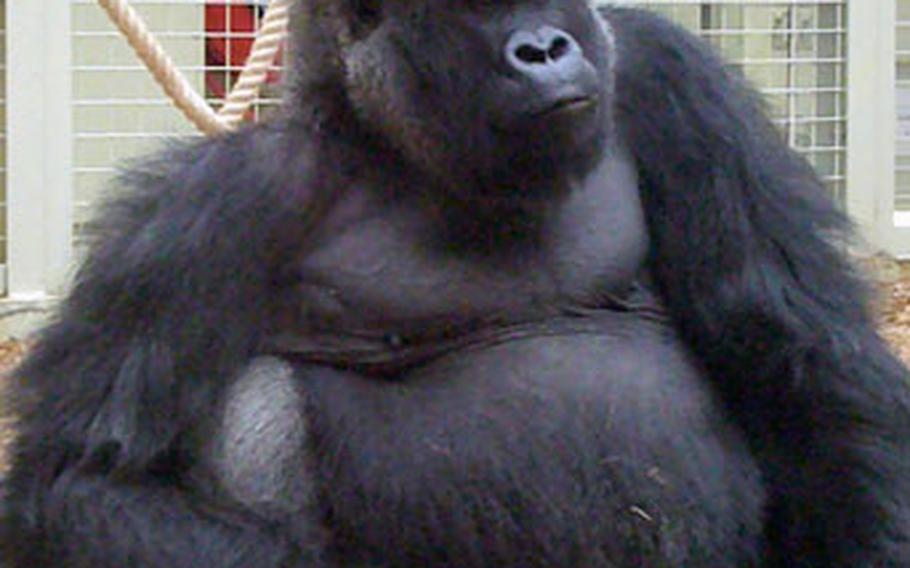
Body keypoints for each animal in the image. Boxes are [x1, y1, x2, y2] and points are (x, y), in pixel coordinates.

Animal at [1, 0, 910, 564]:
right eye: (476, 7)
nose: (543, 48)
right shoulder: (210, 208)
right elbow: (85, 481)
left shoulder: (670, 74)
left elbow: (805, 361)